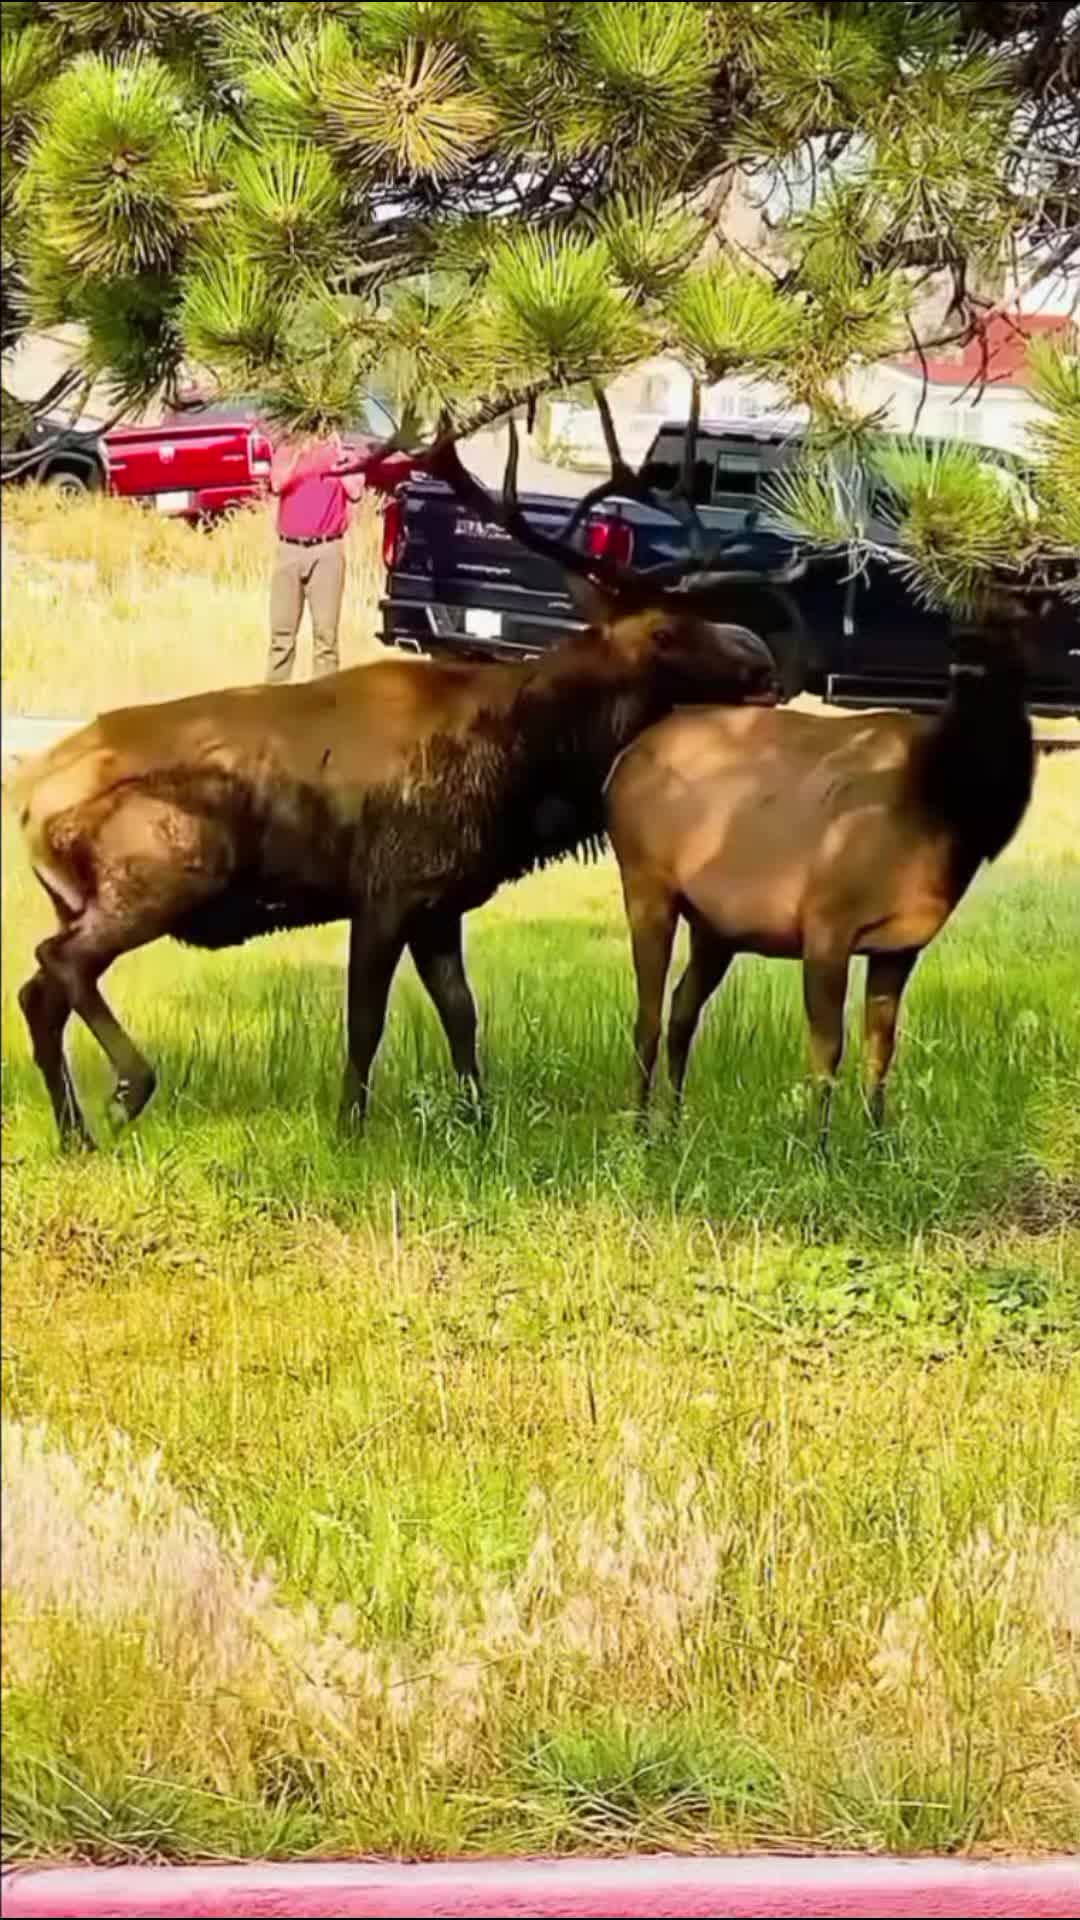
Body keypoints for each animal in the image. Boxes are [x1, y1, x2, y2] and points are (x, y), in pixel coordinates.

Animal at [12, 415, 800, 1151]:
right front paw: (347, 1128)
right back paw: (128, 1091)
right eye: (665, 631)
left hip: (83, 896)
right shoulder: (385, 888)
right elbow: (366, 1021)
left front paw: (479, 1122)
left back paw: (74, 1131)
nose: (762, 663)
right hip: (167, 868)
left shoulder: (438, 902)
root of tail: (27, 808)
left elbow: (462, 1016)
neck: (522, 772)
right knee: (58, 963)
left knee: (37, 991)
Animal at [605, 603, 1044, 1152]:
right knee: (647, 1017)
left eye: (1021, 623)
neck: (944, 809)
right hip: (646, 883)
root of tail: (619, 766)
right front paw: (819, 1149)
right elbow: (828, 1048)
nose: (967, 651)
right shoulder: (826, 921)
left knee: (683, 1011)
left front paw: (879, 1144)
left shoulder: (900, 945)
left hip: (716, 927)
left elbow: (881, 1051)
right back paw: (639, 1132)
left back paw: (674, 1126)